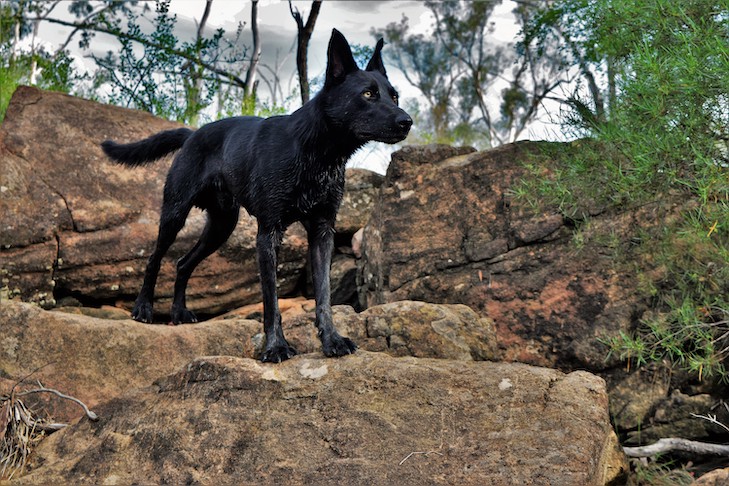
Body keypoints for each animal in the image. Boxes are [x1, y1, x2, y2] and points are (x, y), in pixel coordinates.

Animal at [100, 28, 412, 362]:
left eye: (394, 96)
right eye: (368, 94)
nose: (407, 121)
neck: (316, 152)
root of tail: (192, 133)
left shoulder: (322, 232)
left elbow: (324, 295)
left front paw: (331, 339)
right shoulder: (268, 234)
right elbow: (271, 300)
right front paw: (276, 346)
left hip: (221, 227)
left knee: (183, 264)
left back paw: (179, 312)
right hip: (175, 214)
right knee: (154, 259)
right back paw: (143, 308)